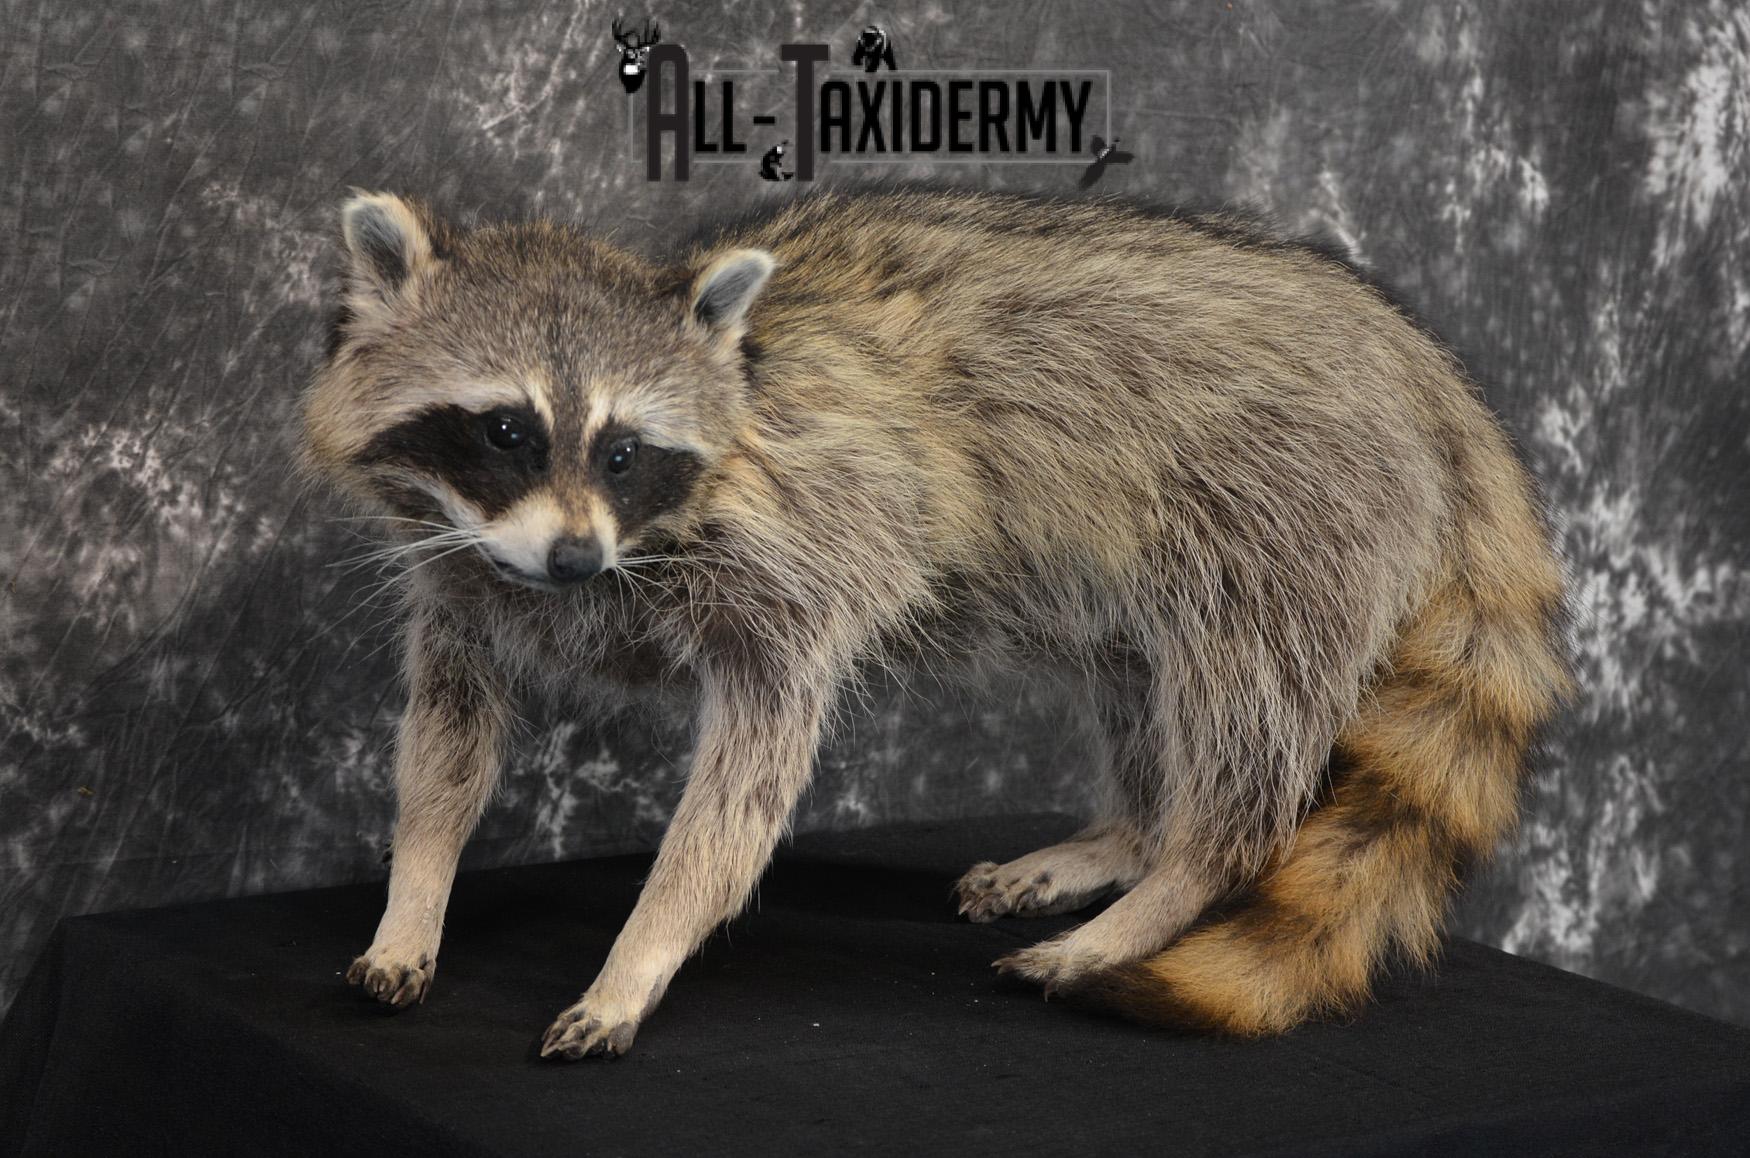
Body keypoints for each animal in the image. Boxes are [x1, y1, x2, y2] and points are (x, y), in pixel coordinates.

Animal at [302, 188, 1572, 1059]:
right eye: (506, 430)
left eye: (622, 451)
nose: (573, 556)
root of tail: (1416, 362)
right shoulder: (464, 576)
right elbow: (448, 739)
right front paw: (416, 893)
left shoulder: (805, 554)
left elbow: (742, 792)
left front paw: (641, 952)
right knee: (1136, 674)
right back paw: (1131, 835)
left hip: (1293, 512)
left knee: (1241, 702)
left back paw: (1181, 872)